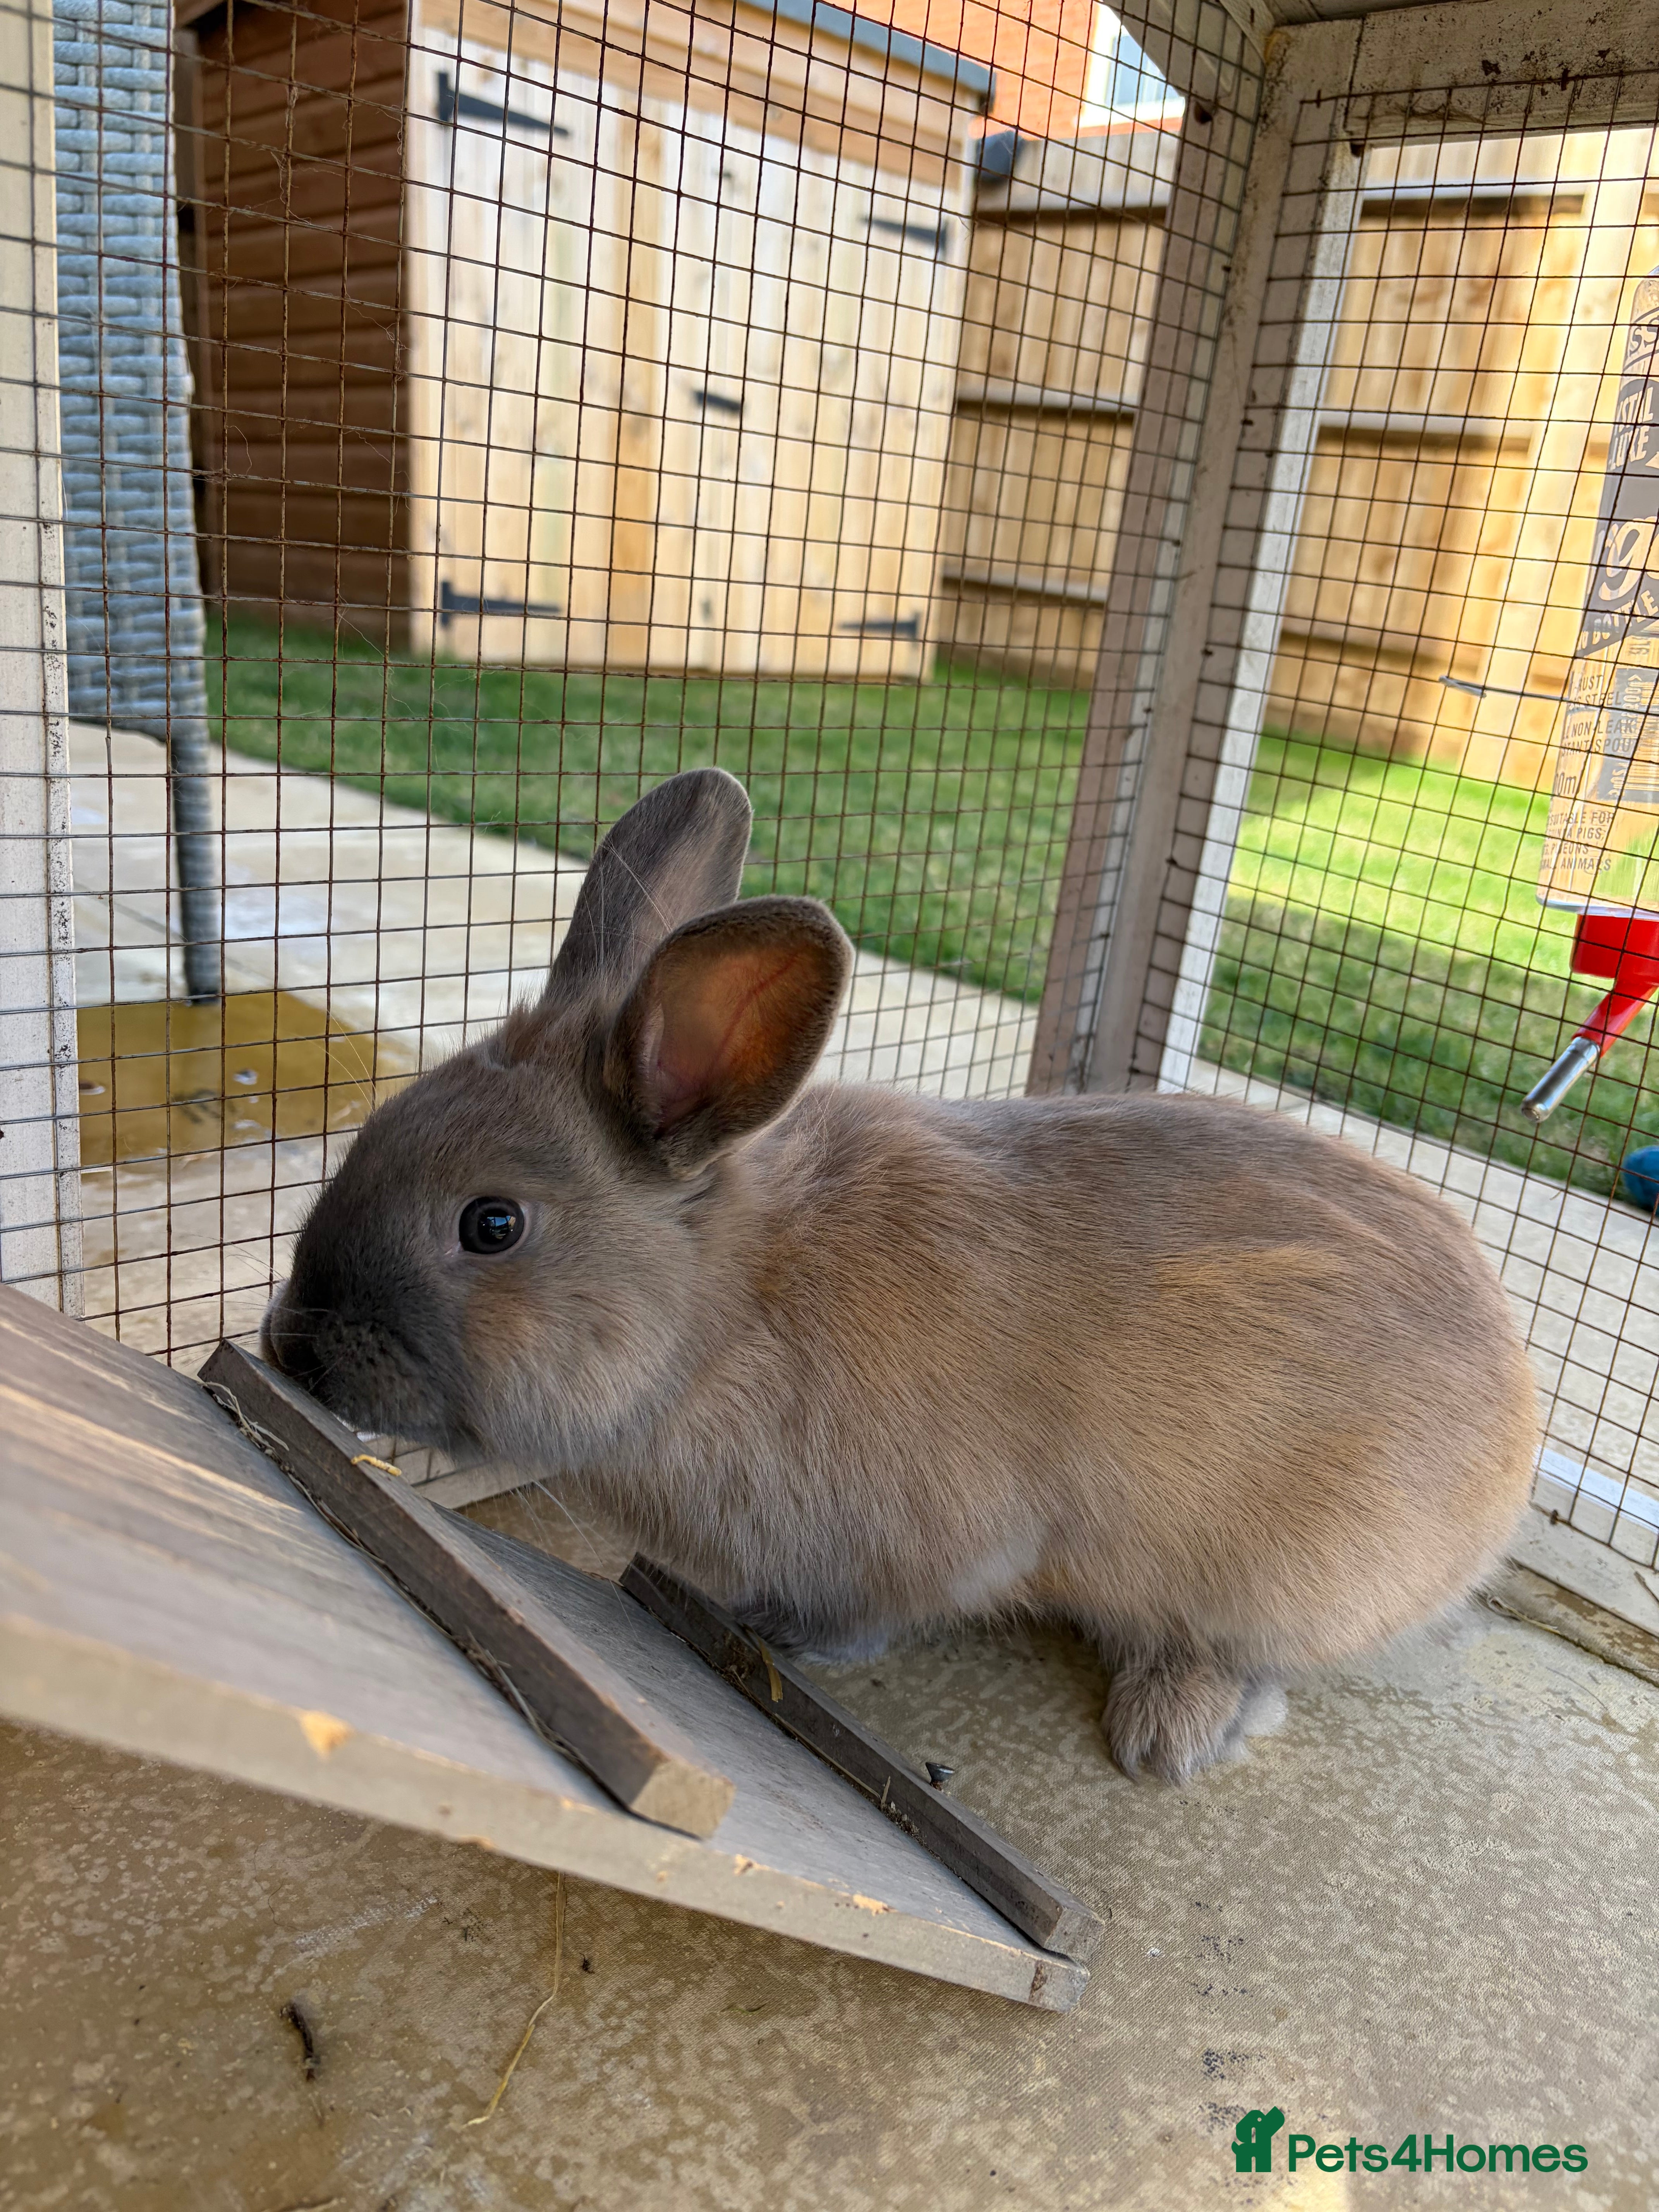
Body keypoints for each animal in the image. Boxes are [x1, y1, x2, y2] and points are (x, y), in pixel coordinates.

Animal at [263, 766, 1539, 1782]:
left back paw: (1170, 1730)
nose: (290, 1344)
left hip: (1274, 1573)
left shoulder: (933, 1542)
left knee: (1248, 1655)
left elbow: (882, 1609)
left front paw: (778, 1629)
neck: (725, 1318)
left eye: (492, 1224)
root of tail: (1516, 1437)